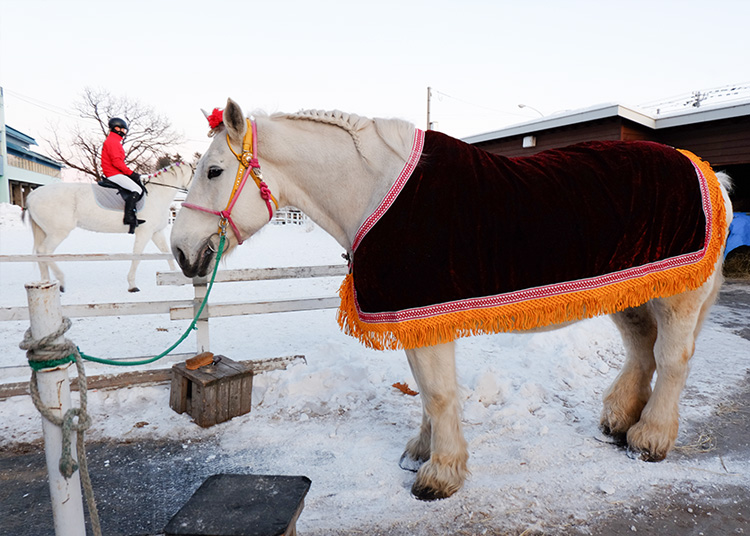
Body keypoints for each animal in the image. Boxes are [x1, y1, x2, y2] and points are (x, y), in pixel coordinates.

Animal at [24, 161, 193, 292]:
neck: (157, 193)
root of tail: (32, 195)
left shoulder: (156, 232)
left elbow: (166, 252)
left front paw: (175, 277)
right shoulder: (144, 232)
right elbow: (136, 257)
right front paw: (132, 285)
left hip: (48, 232)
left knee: (41, 255)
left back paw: (46, 283)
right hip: (58, 232)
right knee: (44, 252)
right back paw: (61, 281)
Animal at [170, 98, 733, 501]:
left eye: (214, 171)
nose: (179, 250)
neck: (376, 192)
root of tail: (709, 174)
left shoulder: (425, 316)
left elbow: (439, 394)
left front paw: (440, 475)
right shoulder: (416, 320)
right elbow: (425, 391)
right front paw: (423, 453)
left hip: (678, 298)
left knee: (671, 358)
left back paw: (650, 438)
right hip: (635, 290)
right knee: (642, 349)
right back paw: (619, 421)